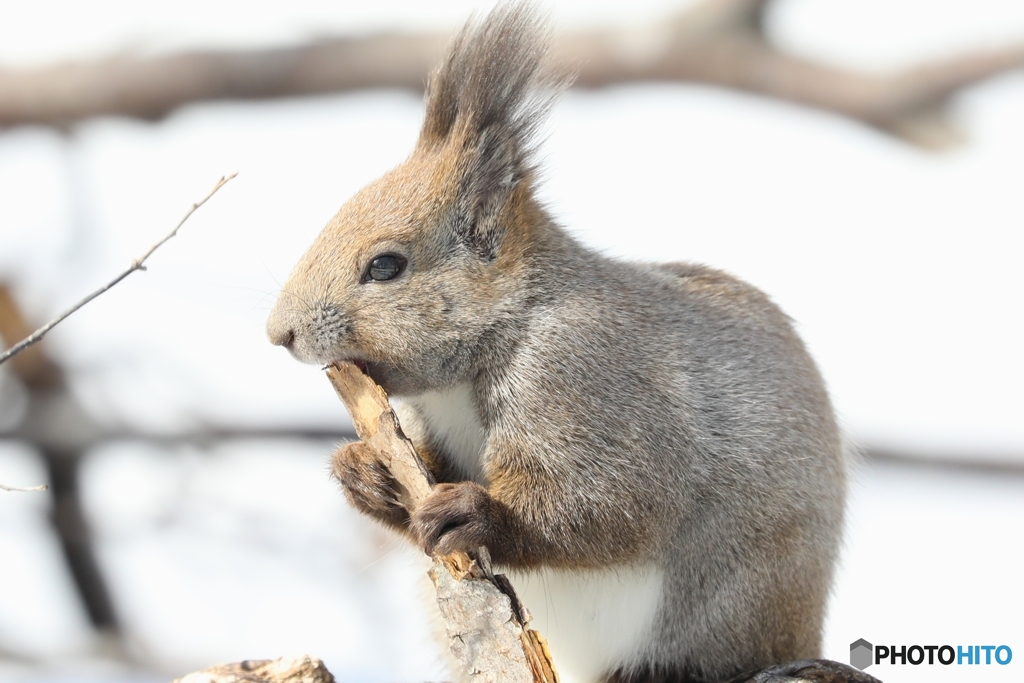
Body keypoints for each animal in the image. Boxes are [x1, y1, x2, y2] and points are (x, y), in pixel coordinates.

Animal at [266, 2, 847, 679]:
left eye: (385, 266)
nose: (279, 333)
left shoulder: (584, 379)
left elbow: (609, 505)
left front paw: (476, 515)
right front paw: (364, 471)